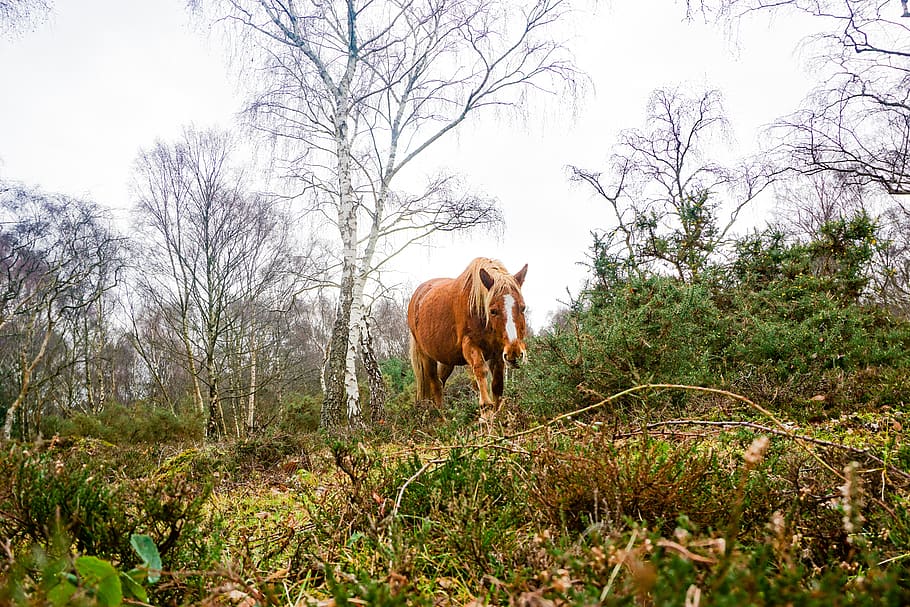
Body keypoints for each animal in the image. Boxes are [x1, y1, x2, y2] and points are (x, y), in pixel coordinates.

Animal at [407, 257, 529, 410]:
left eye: (523, 307)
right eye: (493, 311)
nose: (515, 353)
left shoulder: (498, 352)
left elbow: (497, 386)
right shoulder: (470, 345)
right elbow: (480, 373)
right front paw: (485, 411)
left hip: (448, 359)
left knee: (440, 382)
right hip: (426, 357)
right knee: (435, 385)